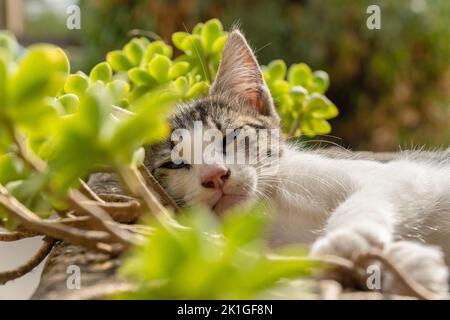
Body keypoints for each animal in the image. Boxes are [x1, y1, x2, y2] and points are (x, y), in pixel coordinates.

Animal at [145, 30, 450, 296]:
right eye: (174, 164)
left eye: (229, 136)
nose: (216, 175)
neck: (271, 211)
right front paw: (414, 264)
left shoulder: (405, 173)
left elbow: (374, 193)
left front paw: (348, 236)